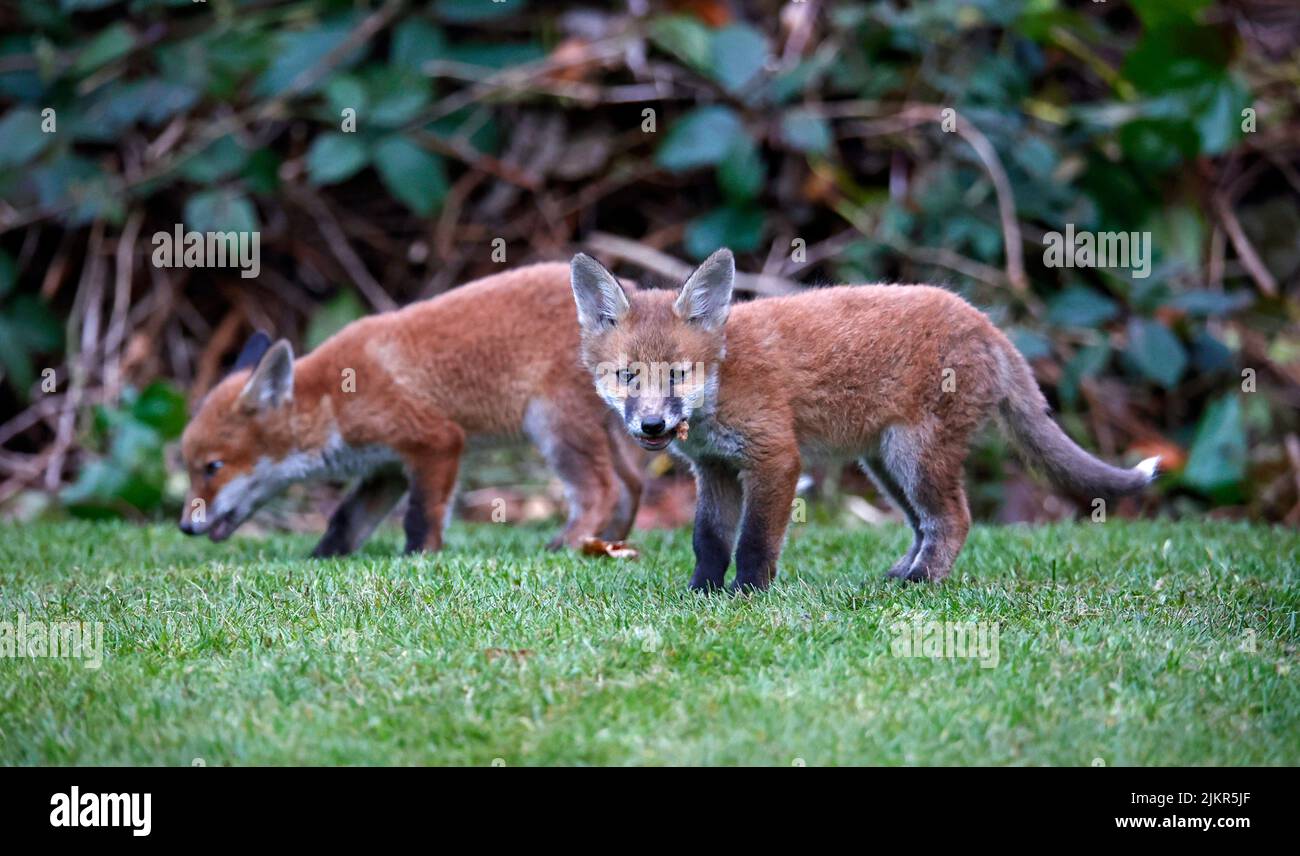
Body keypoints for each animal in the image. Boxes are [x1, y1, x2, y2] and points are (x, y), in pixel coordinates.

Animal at [178, 261, 644, 554]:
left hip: (554, 426)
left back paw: (568, 545)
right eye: (191, 468)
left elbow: (421, 518)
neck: (332, 401)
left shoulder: (437, 441)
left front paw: (419, 558)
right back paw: (606, 546)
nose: (184, 526)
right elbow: (345, 523)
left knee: (602, 490)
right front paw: (321, 559)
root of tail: (636, 293)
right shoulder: (383, 468)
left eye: (213, 467)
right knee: (632, 486)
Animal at [569, 249, 1159, 590]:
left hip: (913, 457)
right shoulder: (714, 470)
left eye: (676, 375)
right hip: (886, 467)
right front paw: (702, 592)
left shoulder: (776, 459)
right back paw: (901, 573)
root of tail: (985, 322)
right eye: (627, 376)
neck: (723, 377)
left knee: (957, 519)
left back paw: (922, 583)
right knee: (926, 524)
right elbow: (708, 540)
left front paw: (746, 594)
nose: (651, 427)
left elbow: (755, 541)